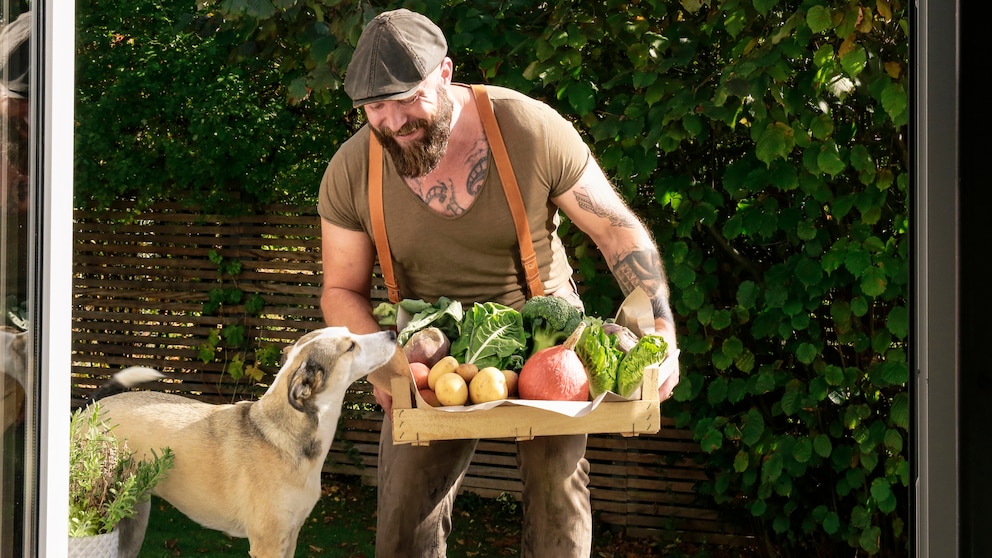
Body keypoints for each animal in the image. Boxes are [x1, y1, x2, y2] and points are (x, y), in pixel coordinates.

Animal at [93, 328, 402, 558]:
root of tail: (92, 408)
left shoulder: (290, 537)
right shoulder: (267, 543)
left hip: (134, 519)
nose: (392, 332)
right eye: (350, 346)